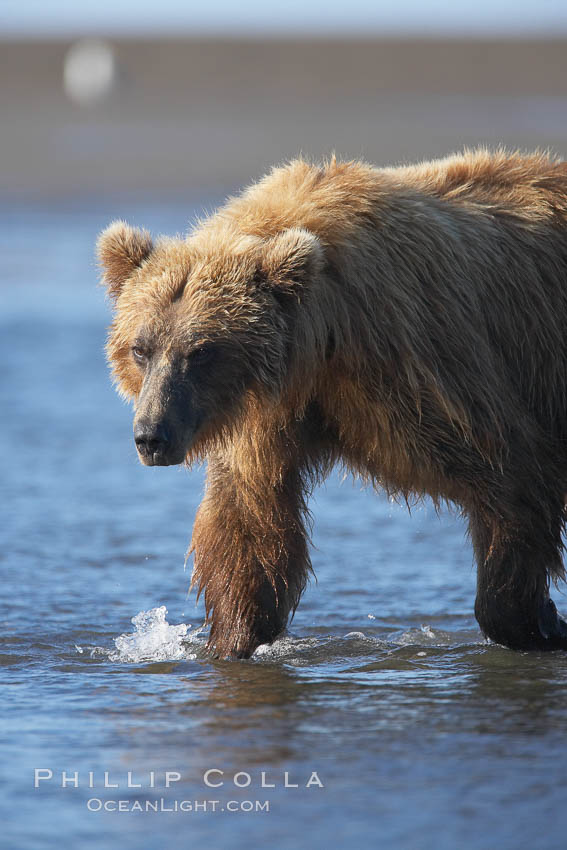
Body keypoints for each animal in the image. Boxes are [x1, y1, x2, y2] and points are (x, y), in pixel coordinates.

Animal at [98, 149, 567, 659]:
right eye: (141, 348)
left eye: (201, 351)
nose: (151, 437)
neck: (320, 345)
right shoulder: (266, 415)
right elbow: (249, 522)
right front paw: (233, 640)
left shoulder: (414, 369)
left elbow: (509, 476)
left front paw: (535, 624)